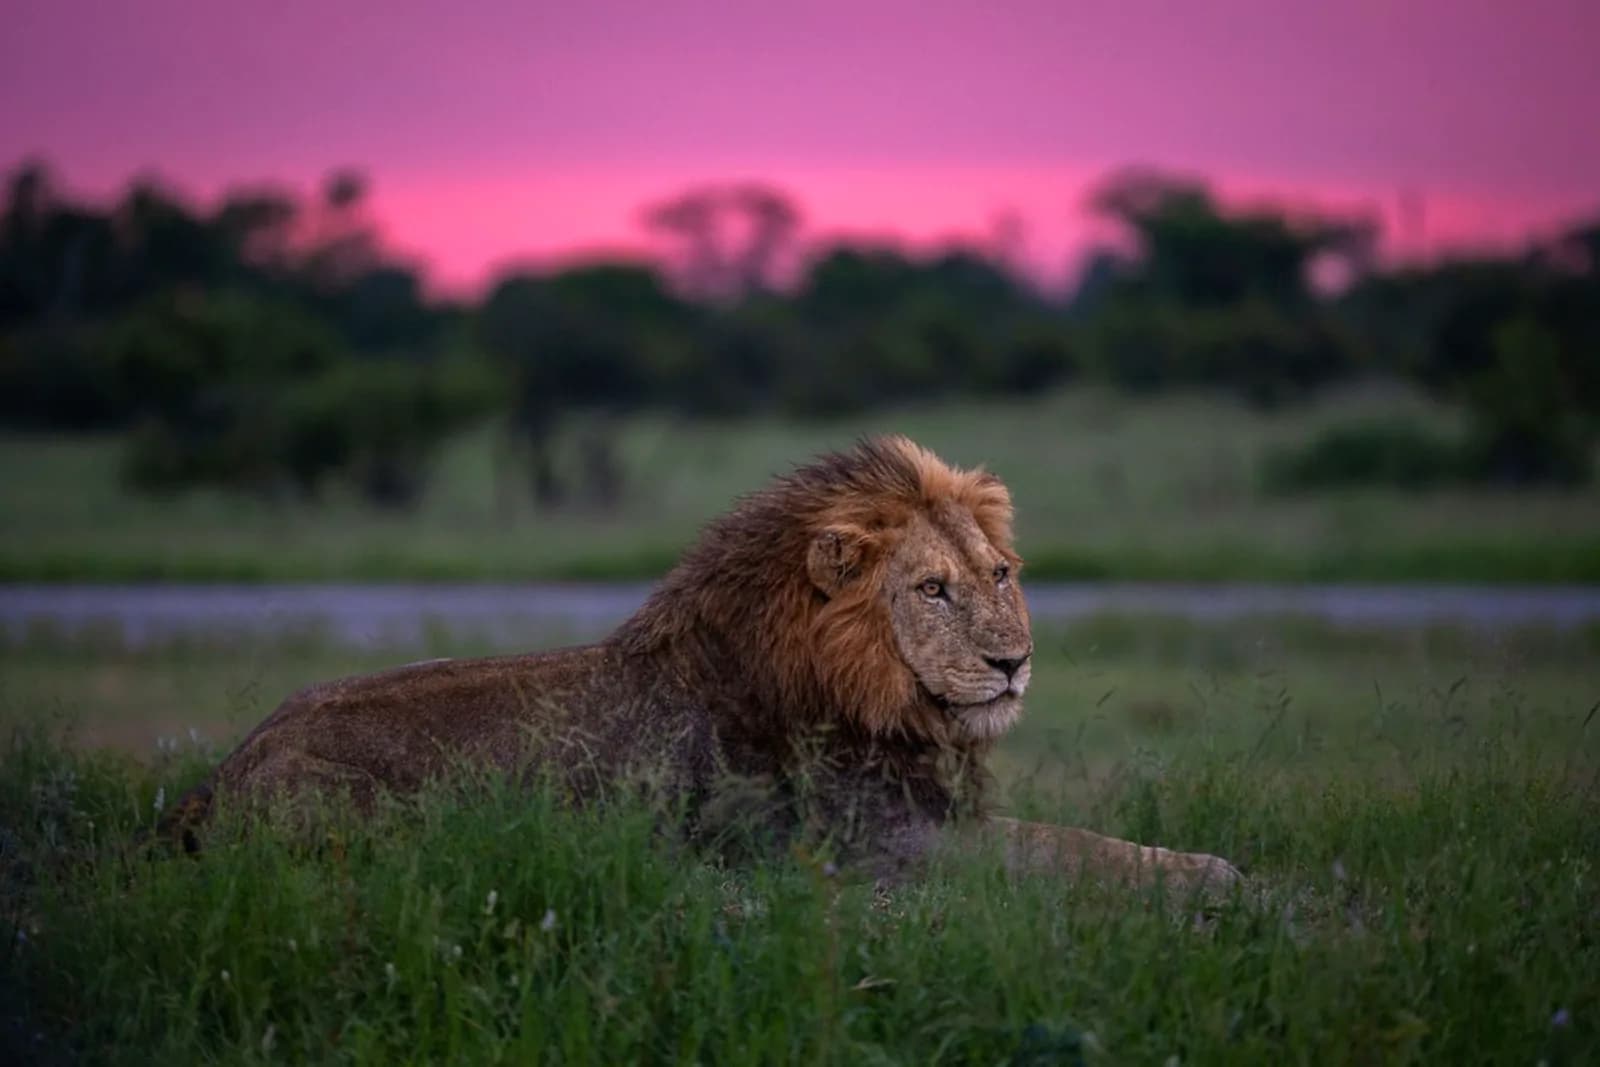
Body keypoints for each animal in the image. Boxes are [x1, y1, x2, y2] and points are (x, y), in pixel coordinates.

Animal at [164, 436, 1241, 894]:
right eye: (931, 589)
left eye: (1000, 573)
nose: (1011, 661)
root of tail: (225, 770)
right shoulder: (885, 843)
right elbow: (1071, 847)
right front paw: (1220, 874)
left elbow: (1084, 838)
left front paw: (1209, 864)